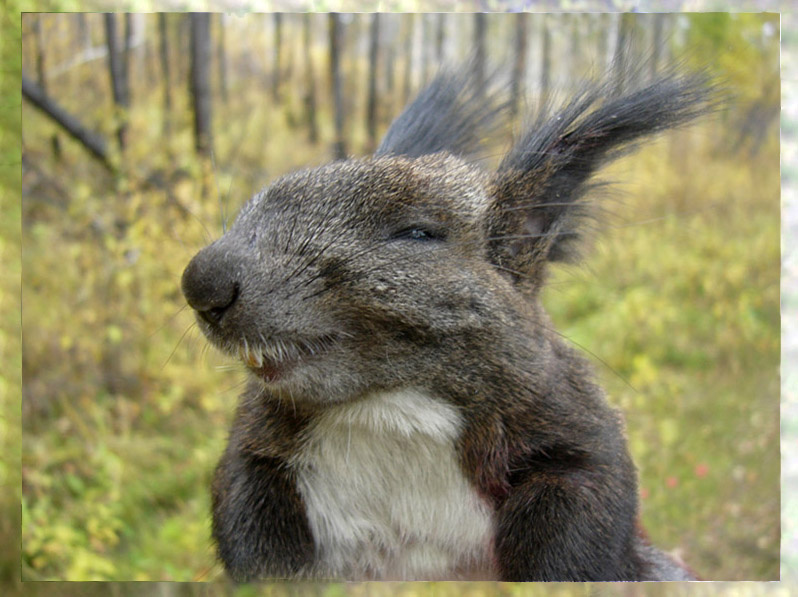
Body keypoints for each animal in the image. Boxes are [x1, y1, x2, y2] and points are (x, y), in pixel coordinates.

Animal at [181, 62, 715, 581]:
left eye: (417, 233)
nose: (203, 282)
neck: (386, 413)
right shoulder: (256, 452)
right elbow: (249, 520)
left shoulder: (576, 440)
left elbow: (581, 528)